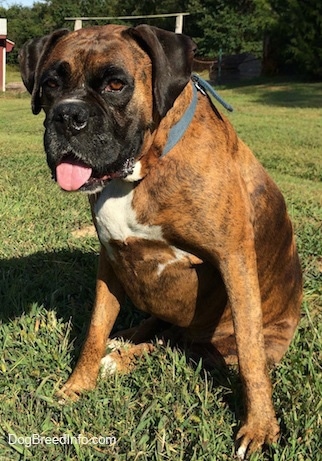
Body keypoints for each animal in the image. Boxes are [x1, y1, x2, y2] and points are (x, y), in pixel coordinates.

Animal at [19, 25, 302, 456]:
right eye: (50, 84)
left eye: (116, 84)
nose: (68, 115)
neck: (142, 169)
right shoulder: (108, 259)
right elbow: (95, 329)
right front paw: (77, 385)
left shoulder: (234, 262)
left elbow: (251, 355)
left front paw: (259, 427)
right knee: (160, 330)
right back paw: (121, 345)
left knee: (184, 345)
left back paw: (125, 357)